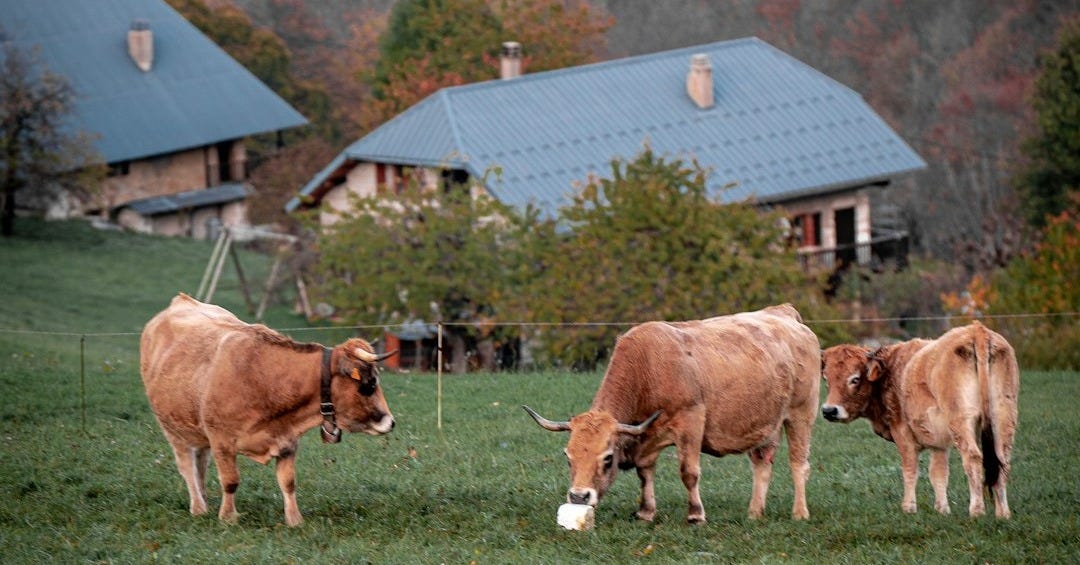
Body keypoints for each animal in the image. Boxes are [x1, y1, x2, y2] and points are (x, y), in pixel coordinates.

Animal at [139, 293, 396, 526]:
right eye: (369, 384)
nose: (390, 421)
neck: (264, 379)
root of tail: (182, 300)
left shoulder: (287, 441)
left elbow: (288, 482)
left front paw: (294, 520)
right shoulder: (222, 441)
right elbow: (230, 481)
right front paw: (228, 517)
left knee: (200, 463)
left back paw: (203, 499)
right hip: (173, 429)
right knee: (187, 466)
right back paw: (198, 507)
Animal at [524, 304, 820, 524]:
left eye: (607, 458)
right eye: (568, 456)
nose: (579, 497)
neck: (649, 367)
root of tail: (784, 313)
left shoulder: (691, 423)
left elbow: (688, 472)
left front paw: (696, 515)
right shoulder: (648, 437)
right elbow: (645, 472)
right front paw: (645, 512)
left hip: (800, 415)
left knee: (798, 464)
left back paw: (800, 513)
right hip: (766, 424)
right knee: (762, 464)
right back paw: (754, 513)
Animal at [820, 321, 1019, 518]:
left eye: (855, 379)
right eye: (826, 379)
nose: (829, 410)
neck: (892, 370)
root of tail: (976, 330)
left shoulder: (903, 434)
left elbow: (910, 470)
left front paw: (908, 507)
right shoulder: (938, 443)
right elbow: (938, 474)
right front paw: (942, 509)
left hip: (961, 422)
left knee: (973, 458)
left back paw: (976, 510)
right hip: (1002, 416)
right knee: (1002, 461)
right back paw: (1003, 513)